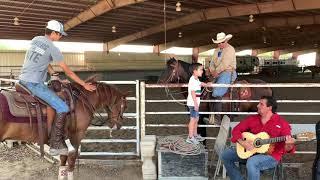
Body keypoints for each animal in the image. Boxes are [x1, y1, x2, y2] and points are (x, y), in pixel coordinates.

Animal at [0, 75, 128, 179]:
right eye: (124, 106)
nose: (119, 124)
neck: (82, 101)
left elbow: (62, 162)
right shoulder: (76, 135)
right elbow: (71, 163)